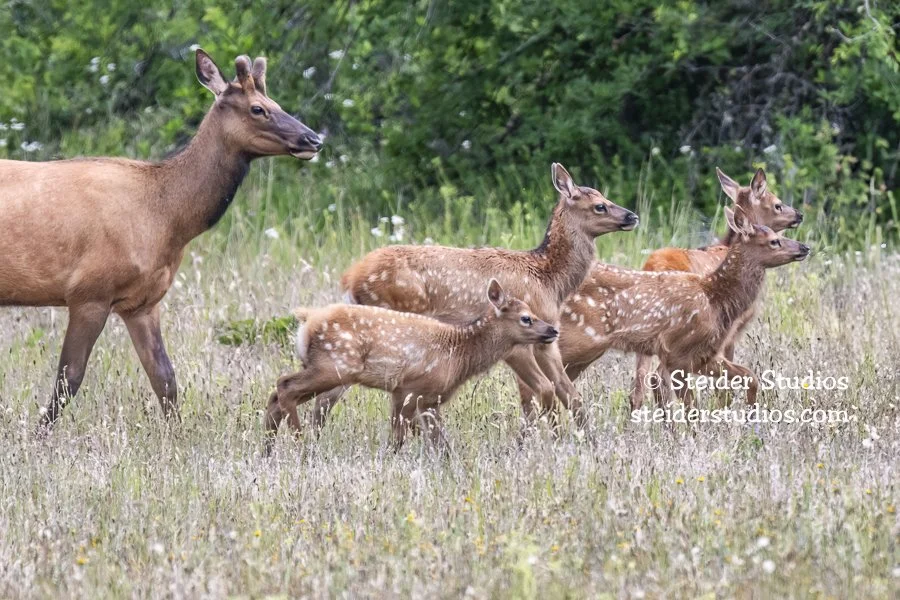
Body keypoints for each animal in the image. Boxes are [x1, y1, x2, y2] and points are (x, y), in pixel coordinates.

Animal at [0, 49, 322, 431]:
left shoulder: (143, 302)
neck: (167, 219)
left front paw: (177, 435)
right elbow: (69, 378)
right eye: (258, 108)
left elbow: (165, 378)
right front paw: (39, 434)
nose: (314, 139)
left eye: (276, 102)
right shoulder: (88, 292)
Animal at [265, 280, 559, 453]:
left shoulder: (425, 399)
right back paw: (299, 443)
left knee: (275, 395)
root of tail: (307, 320)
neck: (458, 356)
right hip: (335, 365)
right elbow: (398, 440)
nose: (553, 330)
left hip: (325, 367)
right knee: (284, 385)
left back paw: (268, 448)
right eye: (526, 318)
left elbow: (442, 445)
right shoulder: (409, 389)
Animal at [305, 163, 638, 432]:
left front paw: (585, 439)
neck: (547, 279)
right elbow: (543, 393)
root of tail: (350, 278)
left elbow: (569, 393)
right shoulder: (517, 341)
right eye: (599, 206)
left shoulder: (547, 337)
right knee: (329, 394)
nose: (632, 216)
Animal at [556, 208, 810, 408]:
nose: (805, 247)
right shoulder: (679, 352)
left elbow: (750, 376)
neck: (714, 298)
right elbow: (691, 406)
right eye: (774, 241)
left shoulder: (703, 355)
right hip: (580, 340)